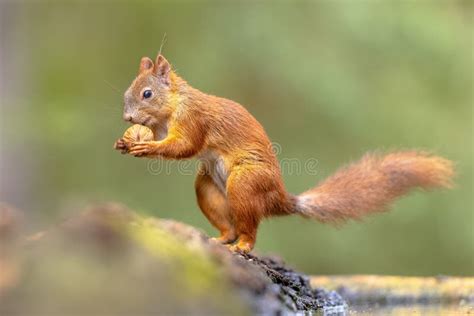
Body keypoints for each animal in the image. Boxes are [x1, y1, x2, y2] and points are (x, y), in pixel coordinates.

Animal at [113, 53, 454, 253]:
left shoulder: (194, 120)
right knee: (231, 226)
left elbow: (185, 146)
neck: (174, 106)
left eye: (147, 93)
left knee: (249, 231)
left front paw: (145, 146)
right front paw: (125, 142)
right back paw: (220, 239)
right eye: (127, 92)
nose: (128, 118)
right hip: (209, 188)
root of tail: (278, 198)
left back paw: (241, 246)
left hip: (245, 183)